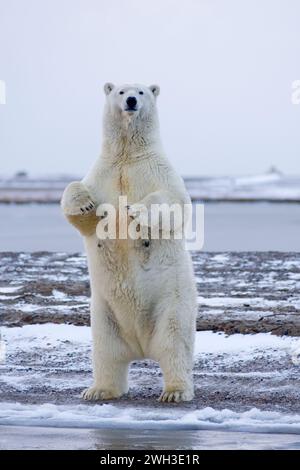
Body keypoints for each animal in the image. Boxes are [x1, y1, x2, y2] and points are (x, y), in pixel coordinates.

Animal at [61, 82, 197, 402]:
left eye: (143, 91)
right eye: (121, 91)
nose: (132, 100)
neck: (127, 154)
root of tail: (141, 346)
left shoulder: (158, 170)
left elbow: (174, 203)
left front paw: (135, 211)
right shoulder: (103, 173)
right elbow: (81, 209)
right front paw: (84, 204)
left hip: (172, 303)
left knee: (175, 344)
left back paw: (175, 391)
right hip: (104, 315)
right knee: (106, 352)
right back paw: (98, 390)